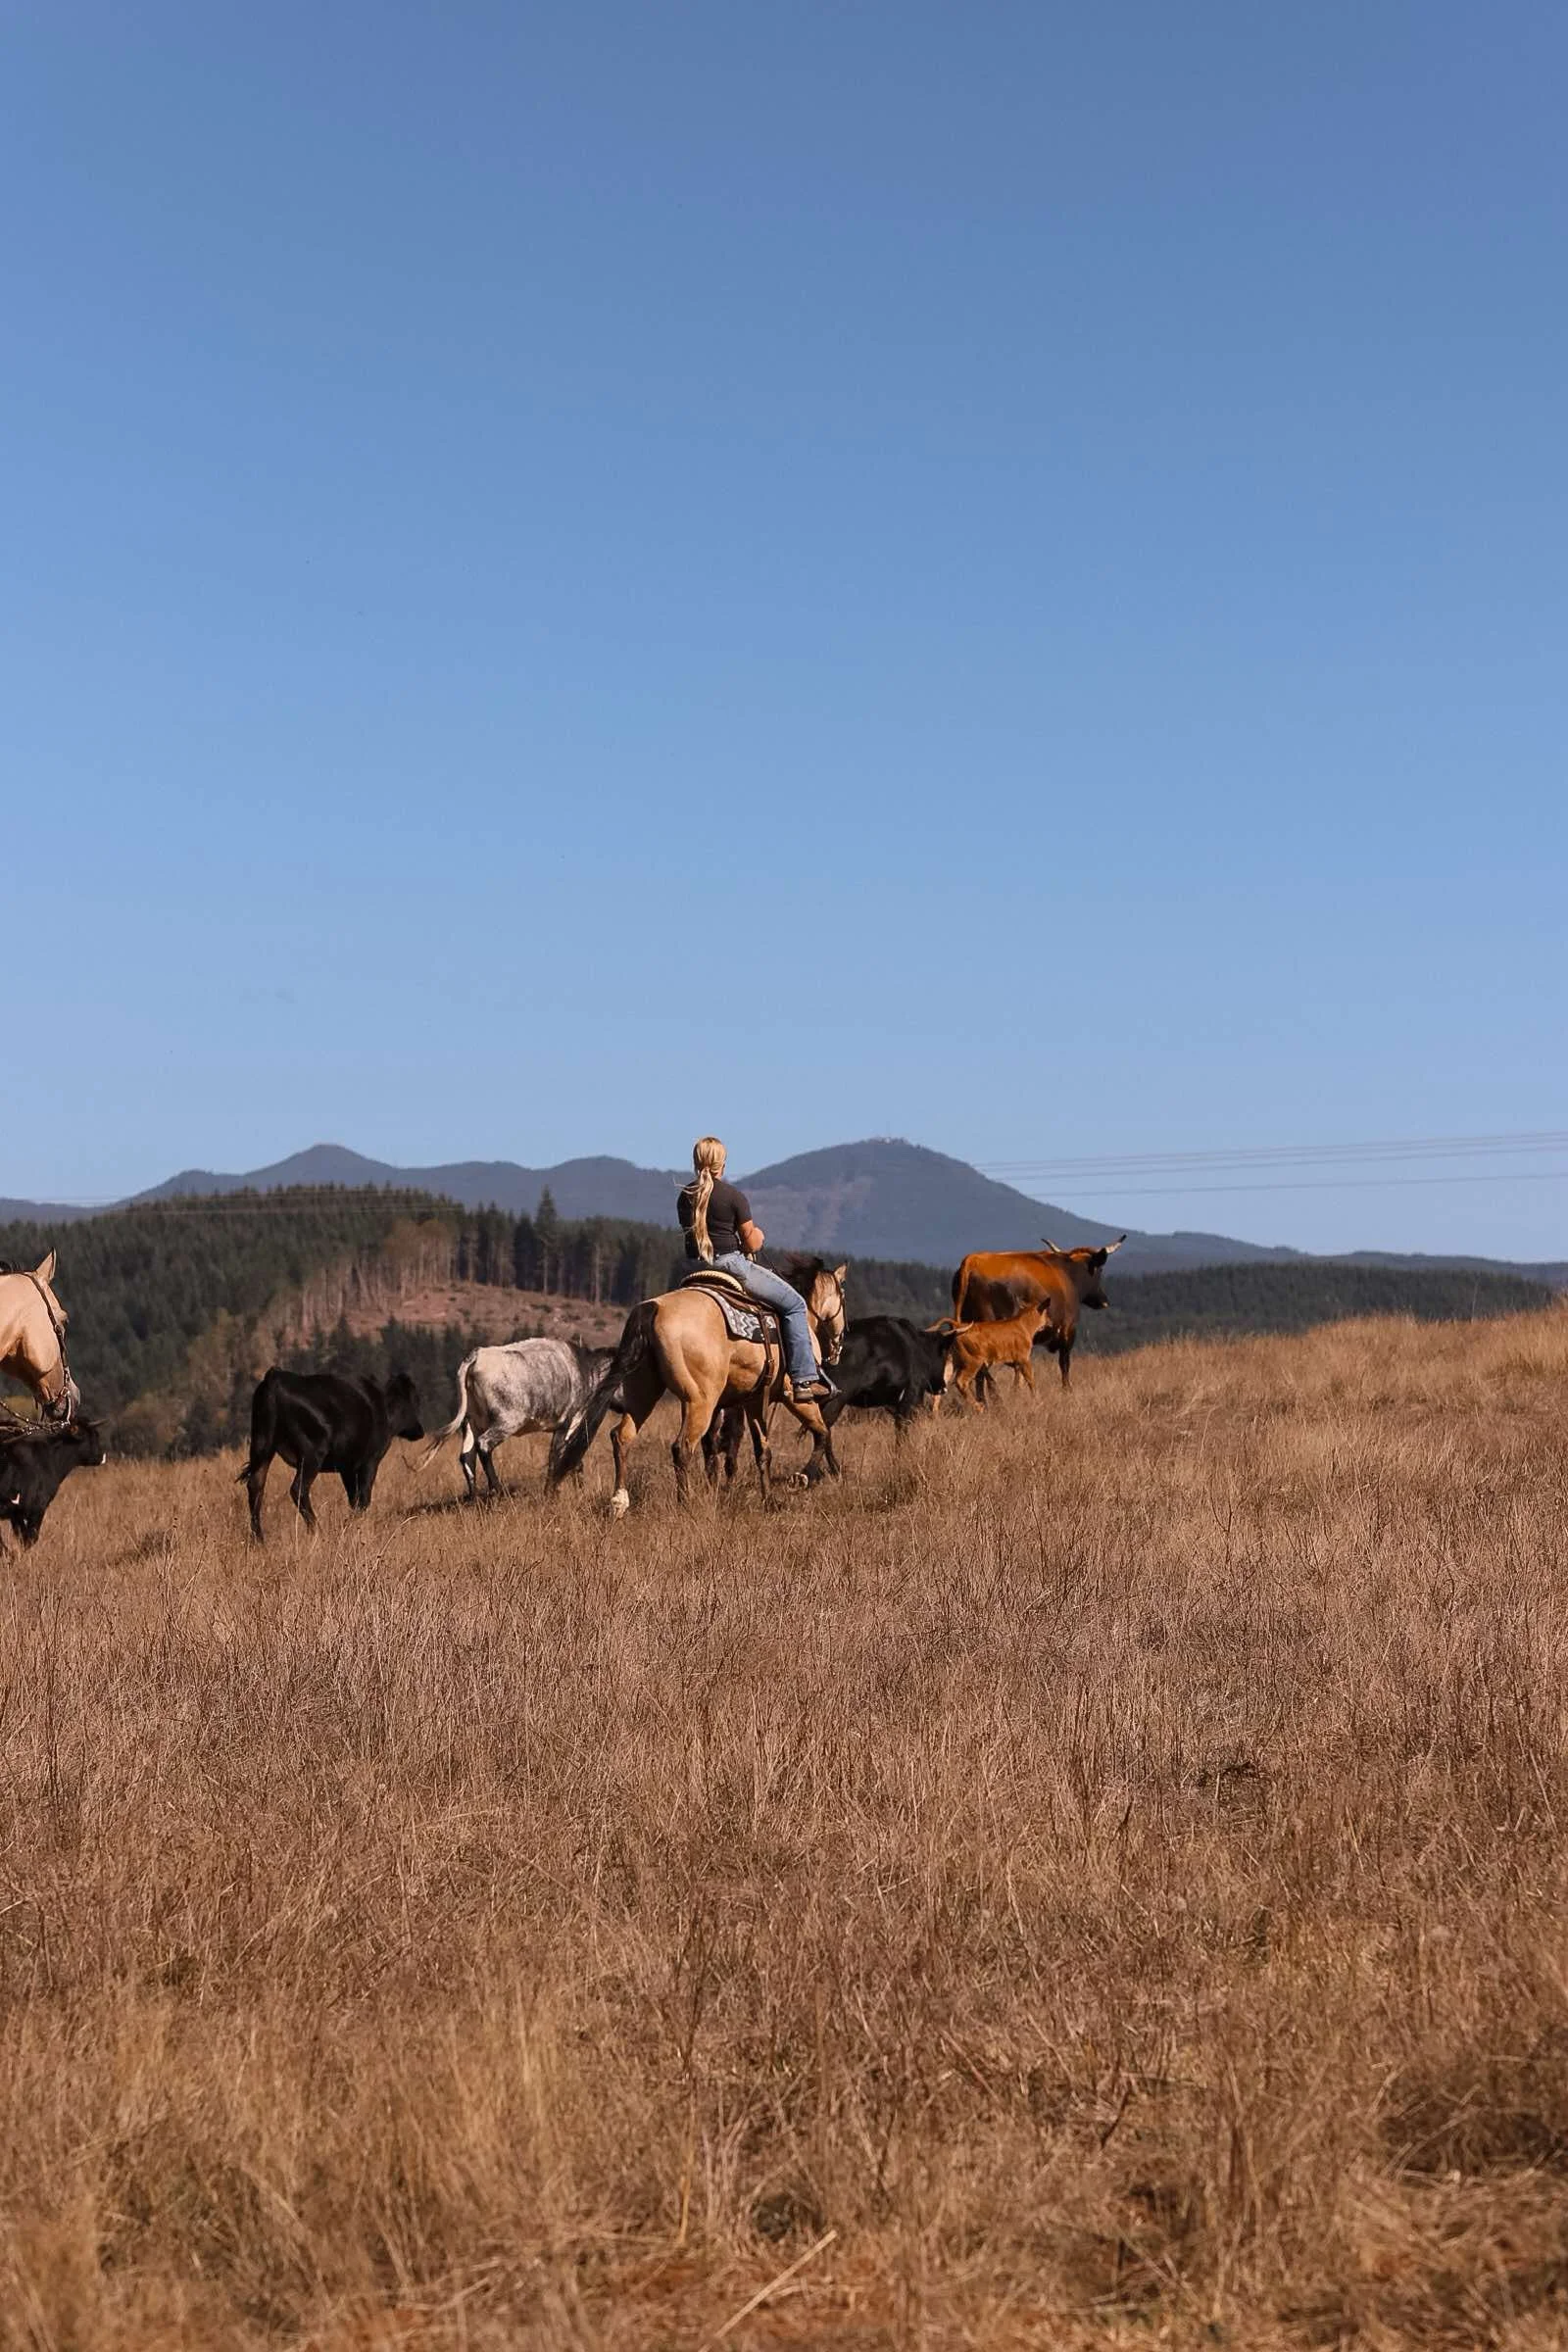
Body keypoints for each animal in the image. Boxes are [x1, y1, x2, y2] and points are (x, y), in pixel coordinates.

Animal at [548, 1258, 848, 1515]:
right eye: (843, 1294)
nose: (840, 1339)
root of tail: (654, 1307)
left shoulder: (753, 1401)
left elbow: (763, 1452)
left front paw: (769, 1502)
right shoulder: (795, 1397)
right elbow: (822, 1433)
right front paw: (802, 1477)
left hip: (644, 1391)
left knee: (622, 1436)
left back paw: (619, 1502)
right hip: (700, 1401)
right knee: (682, 1447)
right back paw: (686, 1504)